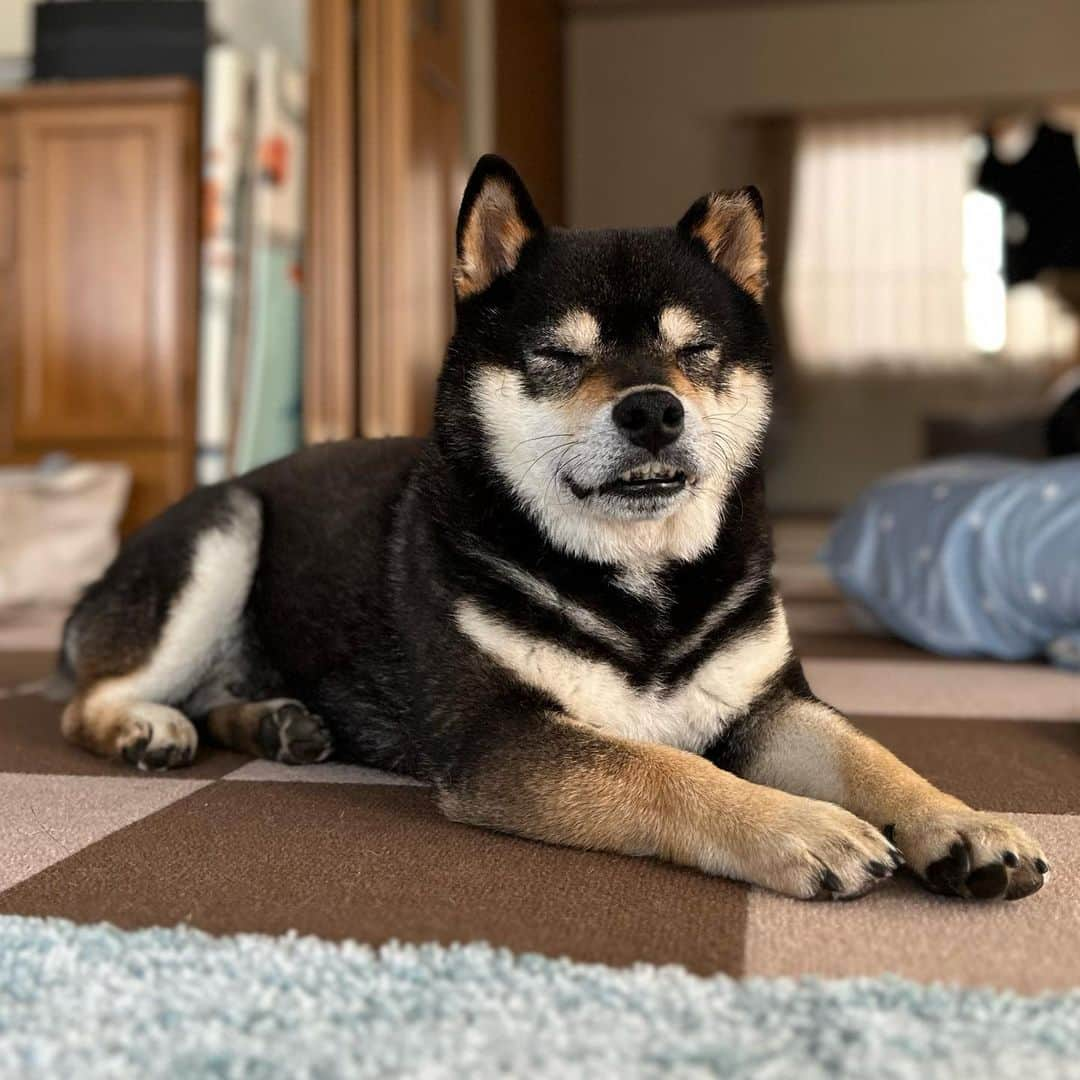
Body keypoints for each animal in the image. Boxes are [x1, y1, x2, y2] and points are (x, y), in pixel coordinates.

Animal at [56, 156, 1045, 902]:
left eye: (696, 352)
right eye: (560, 356)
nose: (652, 411)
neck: (639, 578)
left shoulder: (769, 705)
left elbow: (874, 755)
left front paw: (962, 823)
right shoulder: (505, 735)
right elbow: (672, 772)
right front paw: (803, 825)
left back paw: (274, 724)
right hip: (225, 534)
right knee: (84, 702)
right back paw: (148, 728)